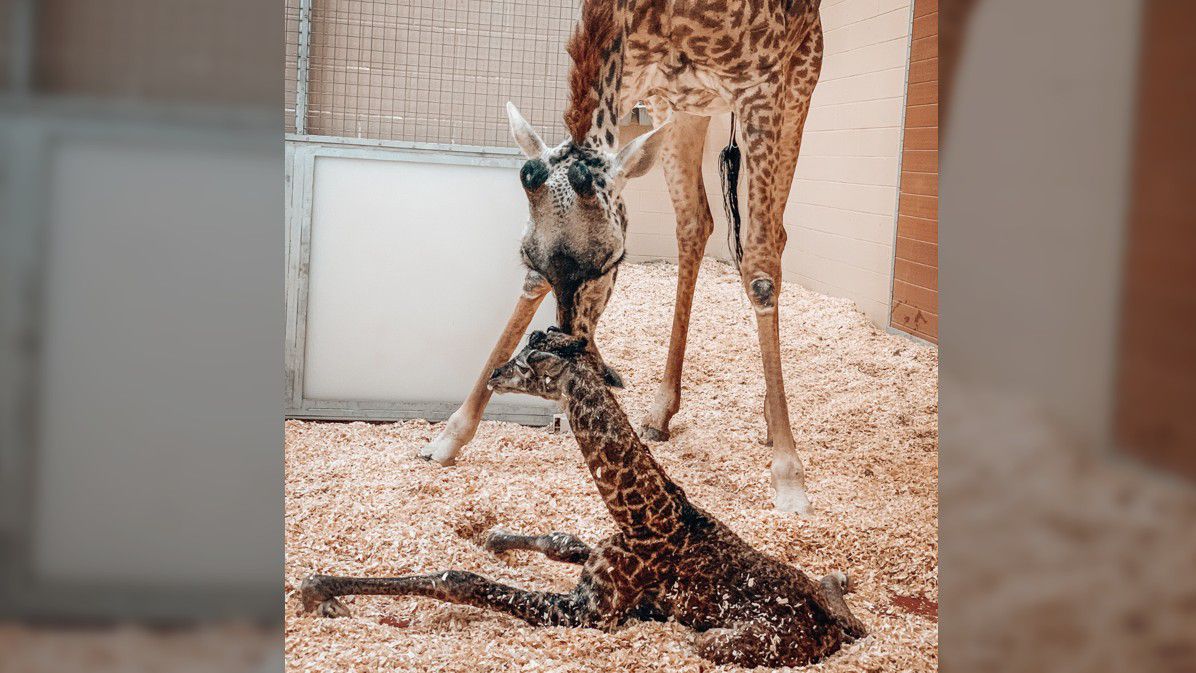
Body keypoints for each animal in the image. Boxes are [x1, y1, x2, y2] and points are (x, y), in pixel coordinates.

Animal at [297, 329, 861, 664]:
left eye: (530, 360)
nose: (495, 372)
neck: (646, 515)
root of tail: (830, 629)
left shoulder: (587, 612)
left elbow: (459, 579)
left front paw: (318, 587)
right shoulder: (592, 566)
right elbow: (560, 538)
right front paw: (496, 538)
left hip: (720, 639)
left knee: (706, 641)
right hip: (826, 599)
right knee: (838, 592)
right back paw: (840, 582)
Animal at [425, 0, 827, 514]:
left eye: (612, 263)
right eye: (527, 257)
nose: (565, 363)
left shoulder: (762, 84)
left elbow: (758, 267)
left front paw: (790, 478)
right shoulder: (644, 88)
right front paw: (450, 436)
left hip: (801, 82)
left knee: (772, 237)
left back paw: (769, 425)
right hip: (686, 111)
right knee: (695, 222)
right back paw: (660, 412)